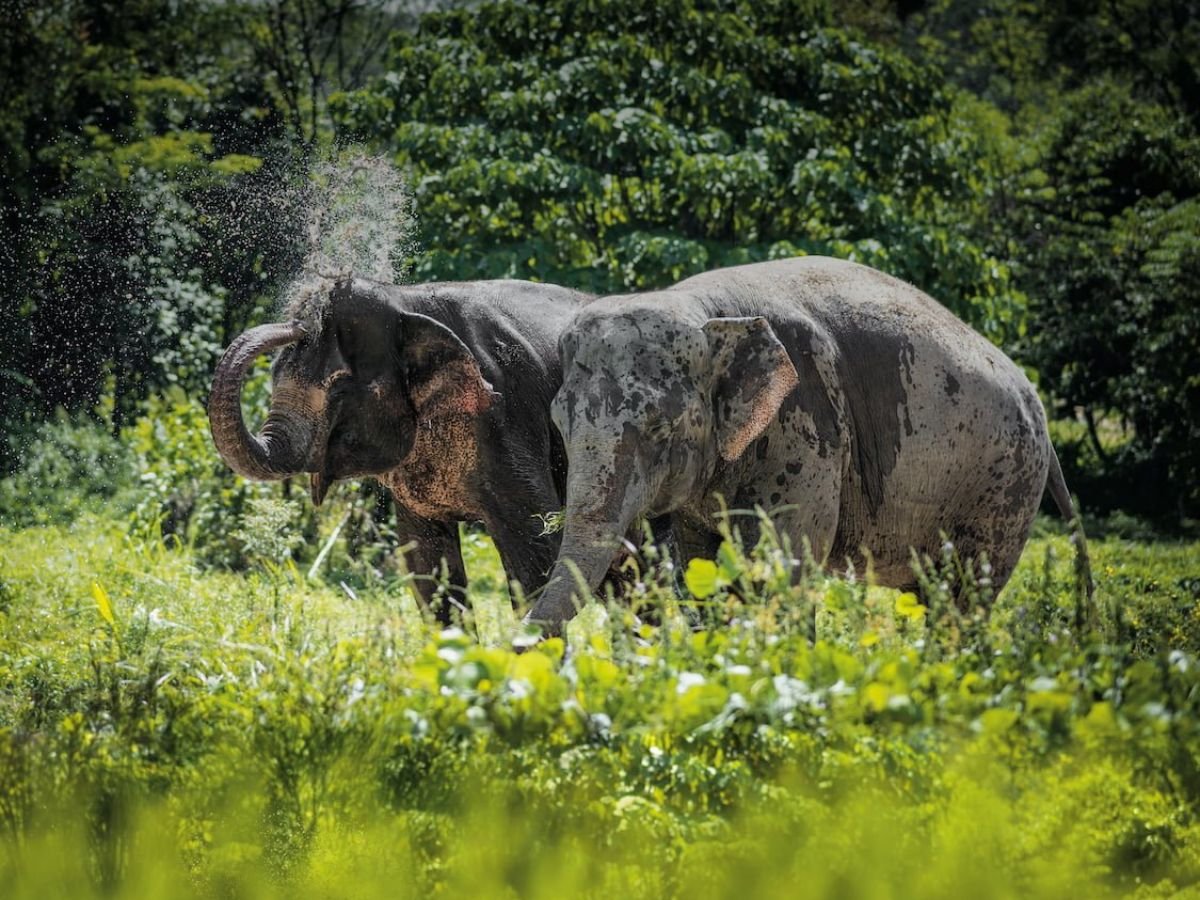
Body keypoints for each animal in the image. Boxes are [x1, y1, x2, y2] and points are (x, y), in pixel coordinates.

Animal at [209, 277, 593, 620]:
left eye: (341, 390)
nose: (299, 322)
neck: (405, 301)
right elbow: (426, 562)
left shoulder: (508, 416)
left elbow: (538, 549)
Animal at [524, 256, 1092, 635]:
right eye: (559, 425)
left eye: (662, 428)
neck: (705, 311)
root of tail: (1034, 400)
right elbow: (700, 566)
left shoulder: (807, 427)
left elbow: (784, 566)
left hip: (1004, 484)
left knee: (965, 596)